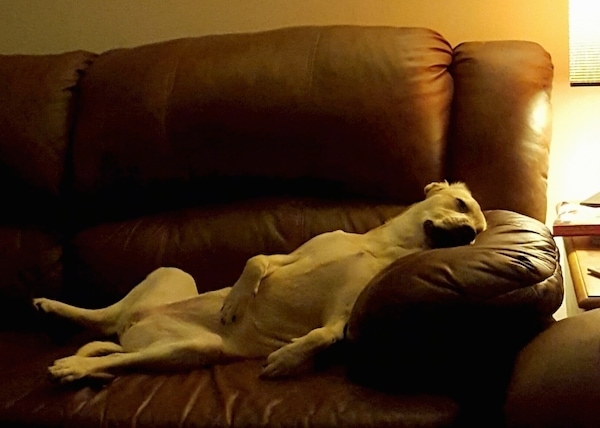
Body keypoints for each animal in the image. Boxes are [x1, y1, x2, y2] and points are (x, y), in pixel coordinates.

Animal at [34, 182, 488, 382]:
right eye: (460, 203)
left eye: (479, 233)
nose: (469, 233)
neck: (383, 248)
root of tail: (131, 331)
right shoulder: (289, 256)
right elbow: (255, 261)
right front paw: (235, 303)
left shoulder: (339, 315)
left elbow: (325, 335)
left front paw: (286, 359)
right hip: (172, 273)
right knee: (104, 317)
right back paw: (51, 308)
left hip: (191, 346)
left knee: (113, 353)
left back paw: (74, 365)